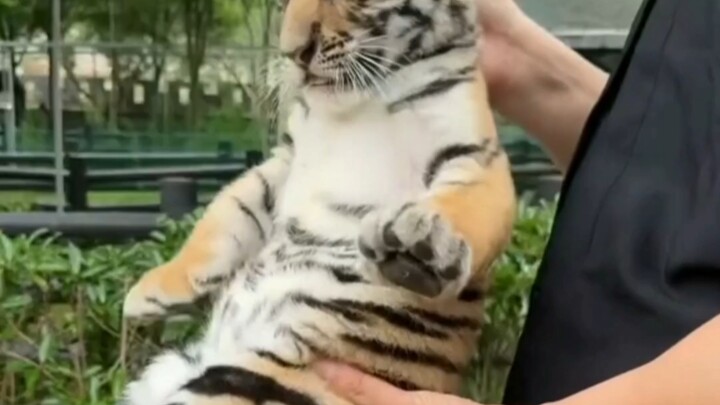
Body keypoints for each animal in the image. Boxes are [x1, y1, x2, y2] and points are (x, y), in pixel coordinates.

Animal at [121, 0, 516, 402]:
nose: (293, 53)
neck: (362, 103)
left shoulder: (476, 155)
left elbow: (470, 204)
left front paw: (413, 242)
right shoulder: (283, 161)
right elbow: (225, 214)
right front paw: (148, 291)